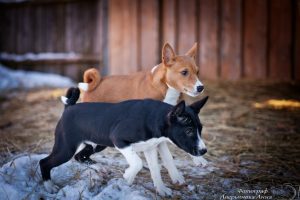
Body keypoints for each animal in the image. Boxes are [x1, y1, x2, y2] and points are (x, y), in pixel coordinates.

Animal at [39, 87, 209, 195]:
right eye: (189, 131)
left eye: (200, 129)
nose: (204, 151)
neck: (155, 117)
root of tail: (69, 107)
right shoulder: (119, 139)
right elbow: (138, 163)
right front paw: (128, 176)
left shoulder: (150, 147)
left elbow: (155, 169)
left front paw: (161, 190)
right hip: (66, 148)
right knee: (44, 162)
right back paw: (49, 187)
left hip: (97, 144)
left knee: (80, 156)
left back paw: (100, 168)